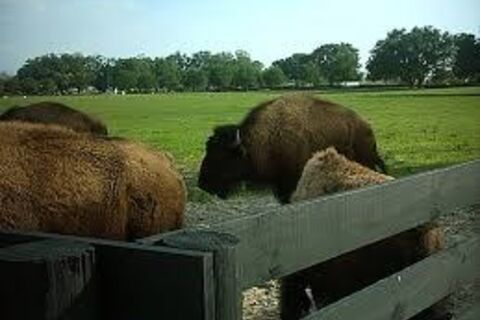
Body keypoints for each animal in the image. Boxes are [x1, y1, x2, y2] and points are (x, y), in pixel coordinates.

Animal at [199, 94, 386, 202]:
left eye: (222, 156)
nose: (203, 184)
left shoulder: (290, 182)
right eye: (208, 150)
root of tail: (366, 126)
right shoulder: (279, 185)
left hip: (366, 160)